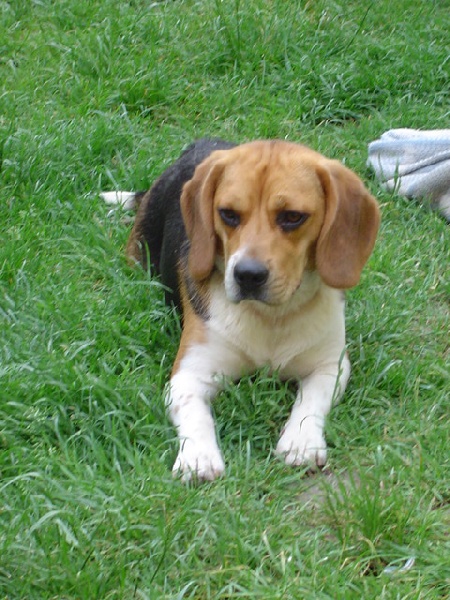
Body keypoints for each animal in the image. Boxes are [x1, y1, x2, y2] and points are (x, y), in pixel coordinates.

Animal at [102, 138, 380, 482]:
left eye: (292, 216)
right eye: (228, 214)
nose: (247, 275)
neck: (271, 318)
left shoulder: (331, 365)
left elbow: (310, 400)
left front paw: (300, 441)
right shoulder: (189, 374)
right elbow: (195, 414)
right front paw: (198, 456)